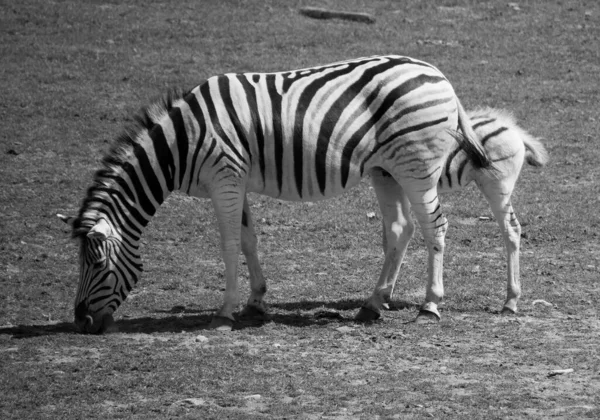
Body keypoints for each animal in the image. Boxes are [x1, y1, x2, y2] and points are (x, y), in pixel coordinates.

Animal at [58, 54, 548, 334]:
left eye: (95, 264)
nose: (81, 322)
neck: (181, 143)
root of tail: (439, 75)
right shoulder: (236, 180)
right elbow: (248, 240)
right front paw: (255, 301)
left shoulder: (224, 177)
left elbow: (228, 244)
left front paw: (226, 311)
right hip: (387, 170)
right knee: (400, 229)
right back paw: (374, 305)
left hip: (417, 166)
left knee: (438, 227)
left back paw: (431, 305)